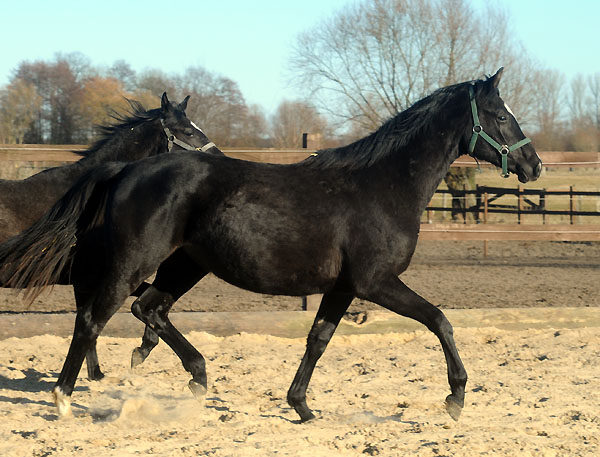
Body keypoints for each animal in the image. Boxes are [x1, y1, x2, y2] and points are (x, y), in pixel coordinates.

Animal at [0, 91, 223, 380]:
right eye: (188, 131)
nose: (220, 161)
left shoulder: (88, 279)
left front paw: (100, 372)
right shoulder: (95, 276)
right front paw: (139, 352)